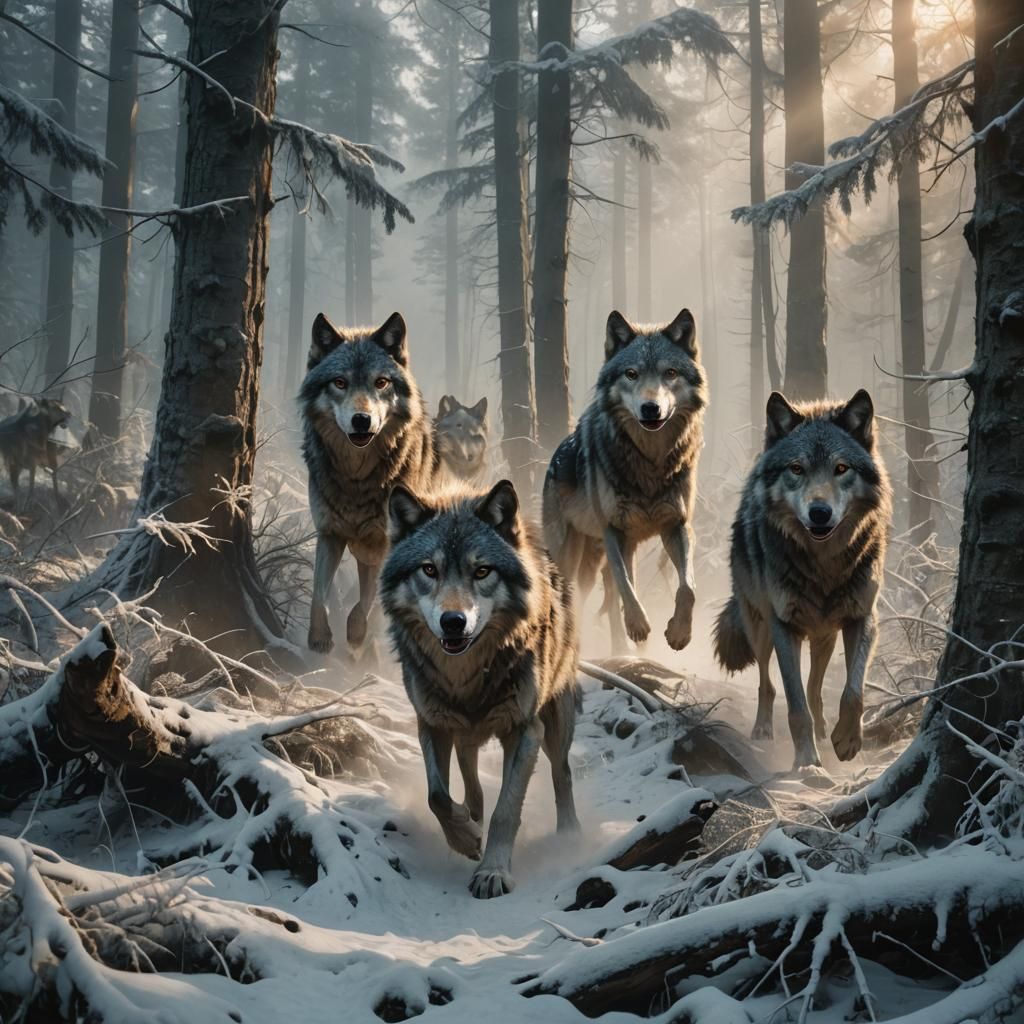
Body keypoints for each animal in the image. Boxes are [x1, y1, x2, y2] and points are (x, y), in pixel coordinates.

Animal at [300, 311, 443, 653]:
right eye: (340, 382)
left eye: (381, 382)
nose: (362, 420)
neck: (357, 478)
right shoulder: (329, 534)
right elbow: (319, 594)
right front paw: (319, 637)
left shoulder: (386, 543)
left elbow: (370, 600)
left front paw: (356, 632)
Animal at [380, 479, 580, 899]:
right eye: (429, 569)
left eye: (482, 570)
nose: (453, 621)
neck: (466, 676)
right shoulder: (431, 723)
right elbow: (437, 796)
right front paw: (466, 838)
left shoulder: (525, 730)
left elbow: (507, 810)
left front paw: (493, 871)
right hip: (464, 732)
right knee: (469, 775)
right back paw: (471, 816)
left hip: (556, 721)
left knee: (562, 773)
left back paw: (570, 835)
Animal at [543, 309, 707, 652]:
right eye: (631, 374)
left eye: (670, 373)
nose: (650, 408)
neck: (651, 465)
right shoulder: (614, 531)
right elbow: (625, 585)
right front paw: (639, 624)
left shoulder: (677, 526)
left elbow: (687, 587)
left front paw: (679, 632)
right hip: (574, 556)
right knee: (581, 596)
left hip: (602, 557)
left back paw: (624, 650)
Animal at [714, 390, 892, 769]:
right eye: (797, 469)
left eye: (841, 468)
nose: (820, 513)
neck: (824, 567)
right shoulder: (785, 626)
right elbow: (795, 707)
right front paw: (807, 762)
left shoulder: (863, 618)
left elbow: (853, 692)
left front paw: (846, 741)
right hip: (760, 627)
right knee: (767, 684)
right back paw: (763, 729)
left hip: (825, 637)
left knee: (815, 688)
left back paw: (825, 731)